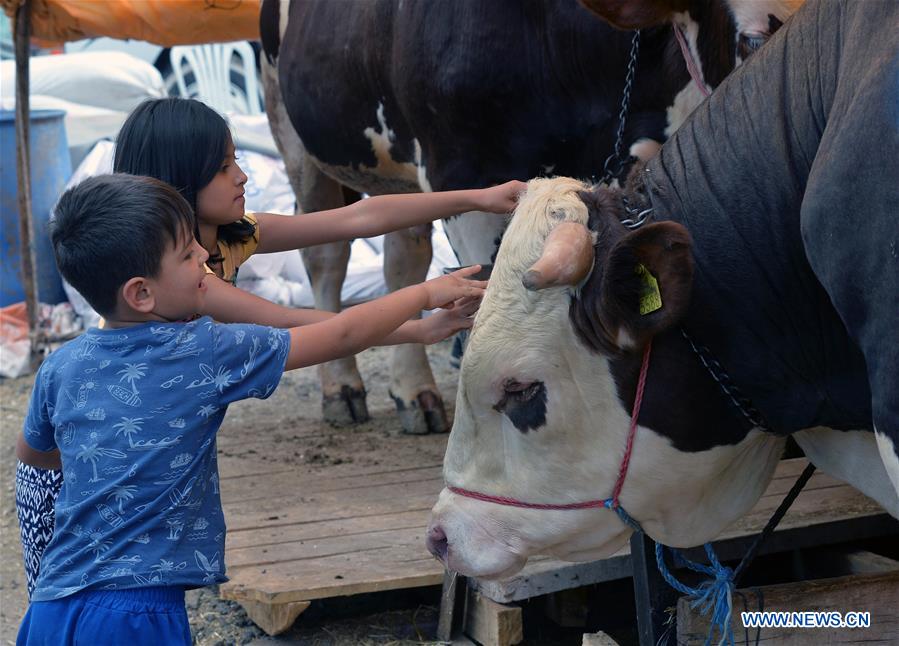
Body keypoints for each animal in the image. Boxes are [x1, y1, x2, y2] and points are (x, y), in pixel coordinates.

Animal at [260, 1, 800, 436]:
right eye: (753, 38)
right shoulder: (459, 170)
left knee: (402, 256)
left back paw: (414, 392)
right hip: (294, 135)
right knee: (327, 256)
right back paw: (342, 389)